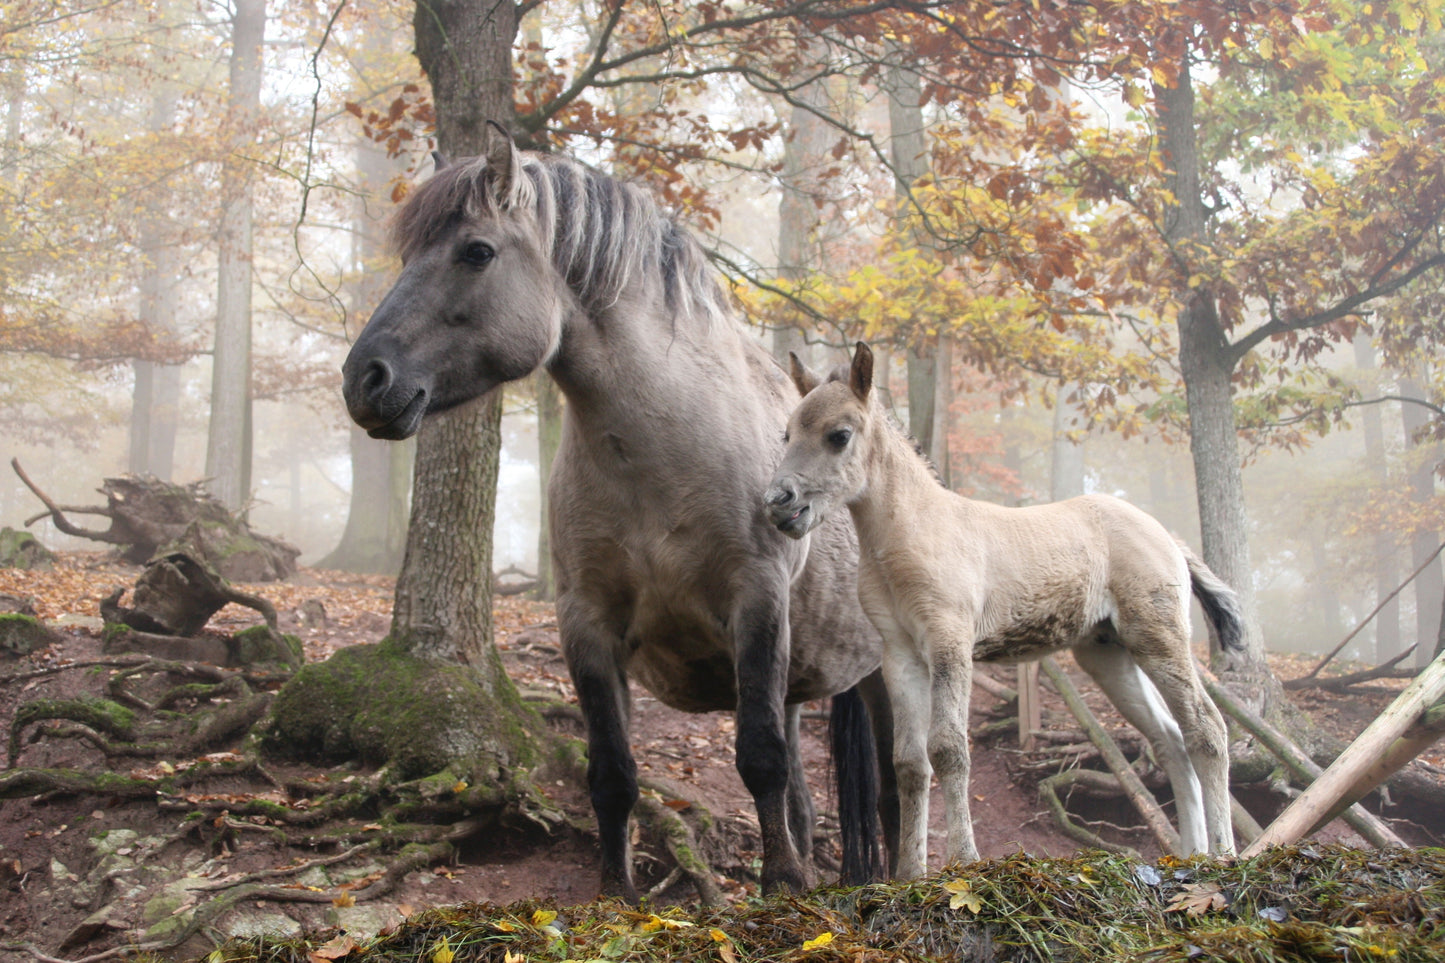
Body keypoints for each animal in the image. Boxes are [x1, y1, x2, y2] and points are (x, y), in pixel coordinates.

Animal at [340, 124, 895, 900]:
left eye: (476, 251)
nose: (364, 380)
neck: (659, 455)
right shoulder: (587, 622)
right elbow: (612, 772)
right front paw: (617, 893)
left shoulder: (756, 600)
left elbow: (758, 757)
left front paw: (782, 885)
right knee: (805, 791)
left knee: (897, 790)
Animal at [764, 341, 1241, 877]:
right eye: (788, 434)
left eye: (839, 435)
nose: (779, 502)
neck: (913, 533)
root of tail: (1169, 538)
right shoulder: (901, 655)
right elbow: (909, 762)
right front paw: (909, 875)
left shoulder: (950, 642)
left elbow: (949, 749)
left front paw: (964, 861)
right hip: (1108, 654)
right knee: (1170, 741)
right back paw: (1190, 855)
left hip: (1158, 638)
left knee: (1206, 728)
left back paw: (1223, 852)